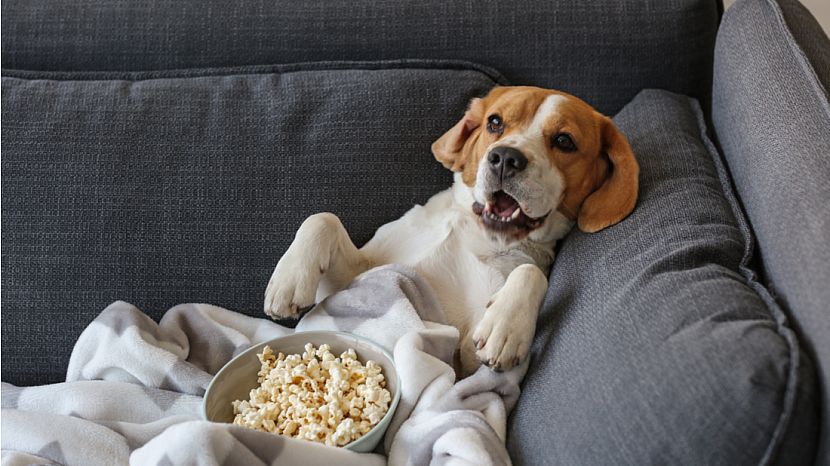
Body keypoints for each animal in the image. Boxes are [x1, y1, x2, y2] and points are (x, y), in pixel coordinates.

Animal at [264, 86, 640, 378]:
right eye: (495, 122)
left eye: (564, 141)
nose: (505, 157)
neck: (474, 231)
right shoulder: (354, 279)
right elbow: (322, 218)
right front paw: (288, 280)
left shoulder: (465, 358)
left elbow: (529, 272)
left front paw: (507, 326)